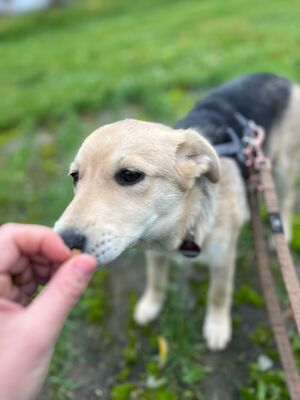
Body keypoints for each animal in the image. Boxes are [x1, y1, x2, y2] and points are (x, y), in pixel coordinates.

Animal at [54, 72, 300, 350]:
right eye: (75, 176)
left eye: (130, 175)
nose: (65, 241)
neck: (181, 226)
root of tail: (275, 76)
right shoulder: (153, 251)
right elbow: (156, 280)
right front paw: (151, 305)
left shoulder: (223, 259)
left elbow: (218, 294)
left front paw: (217, 327)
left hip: (281, 167)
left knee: (286, 199)